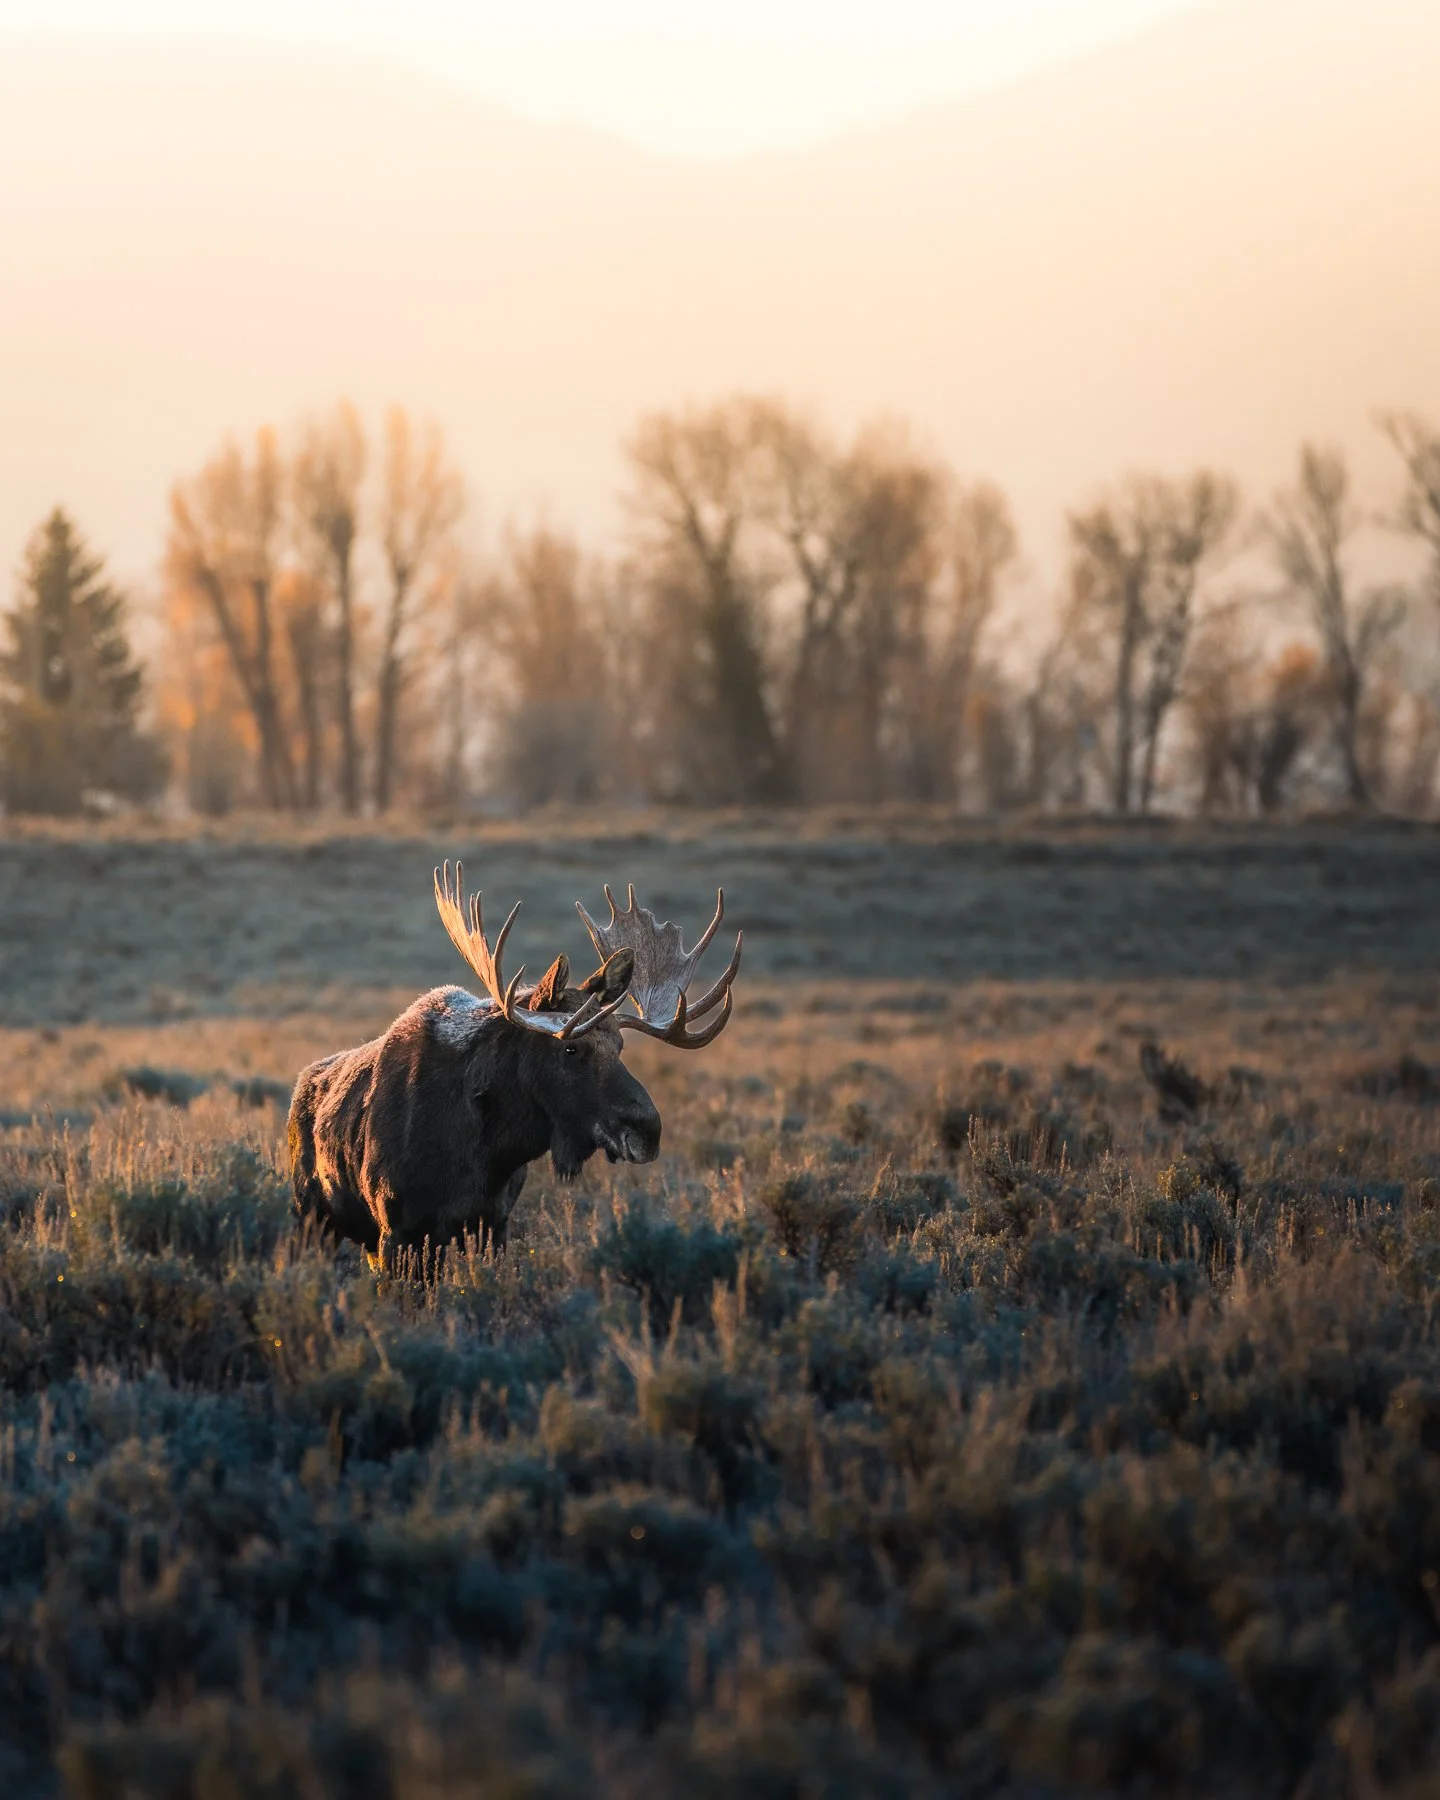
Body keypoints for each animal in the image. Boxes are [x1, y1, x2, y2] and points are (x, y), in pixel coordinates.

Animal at [287, 862, 742, 1265]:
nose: (648, 1130)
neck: (485, 1152)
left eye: (620, 1045)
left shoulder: (493, 1223)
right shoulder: (397, 1226)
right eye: (570, 1050)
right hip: (311, 1217)